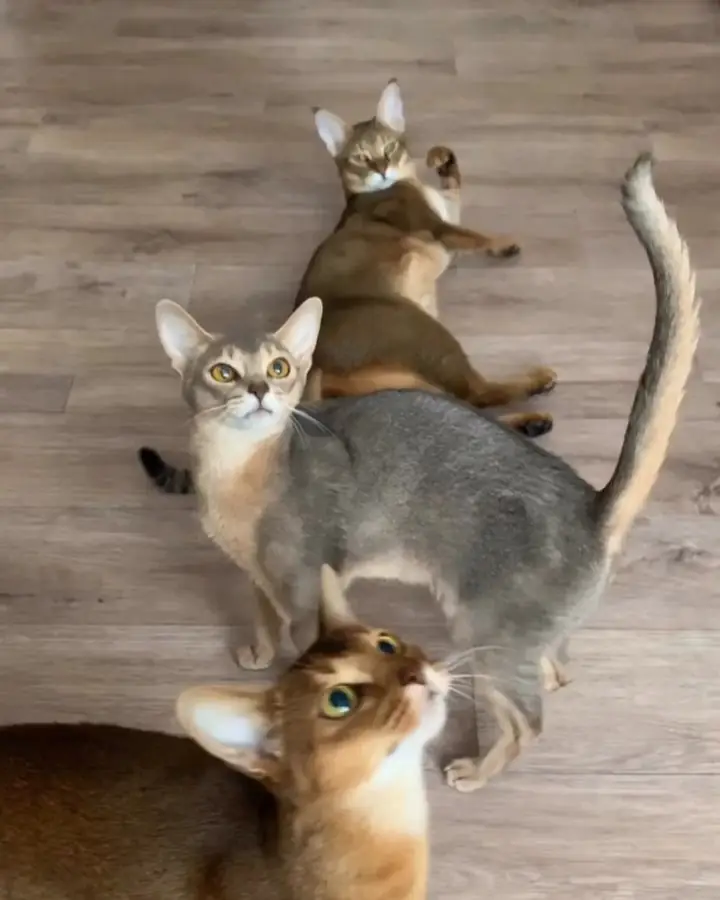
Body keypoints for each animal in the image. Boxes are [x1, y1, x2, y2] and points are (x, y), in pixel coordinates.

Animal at [146, 154, 698, 793]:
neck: (234, 476)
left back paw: (475, 773)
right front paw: (257, 652)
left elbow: (304, 646)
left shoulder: (304, 588)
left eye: (280, 368)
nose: (259, 391)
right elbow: (261, 616)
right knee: (558, 667)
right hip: (517, 632)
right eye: (224, 373)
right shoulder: (258, 575)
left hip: (482, 631)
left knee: (528, 721)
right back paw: (546, 675)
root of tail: (591, 504)